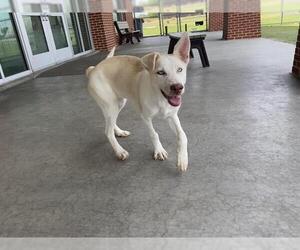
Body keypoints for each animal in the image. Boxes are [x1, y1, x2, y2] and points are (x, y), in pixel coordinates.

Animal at [86, 33, 190, 172]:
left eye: (180, 69)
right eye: (160, 72)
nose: (177, 88)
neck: (160, 98)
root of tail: (93, 69)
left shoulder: (172, 116)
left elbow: (182, 135)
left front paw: (183, 159)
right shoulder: (145, 117)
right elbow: (154, 134)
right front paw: (159, 151)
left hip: (118, 103)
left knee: (110, 124)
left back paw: (119, 132)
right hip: (111, 105)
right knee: (107, 131)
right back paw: (119, 151)